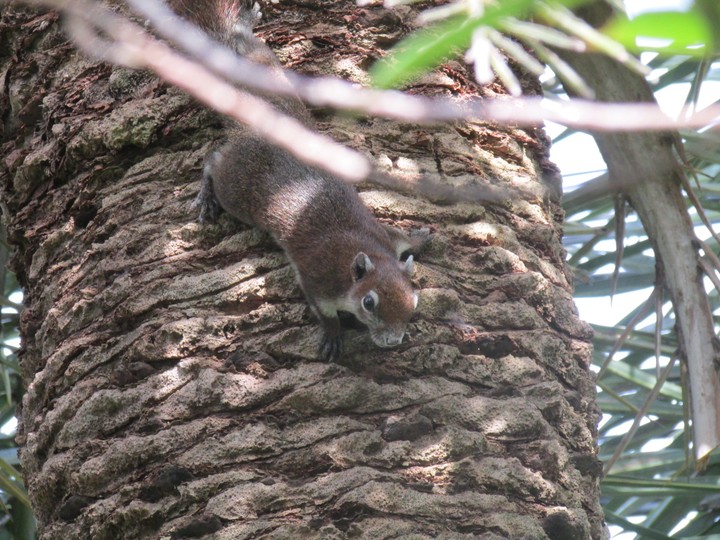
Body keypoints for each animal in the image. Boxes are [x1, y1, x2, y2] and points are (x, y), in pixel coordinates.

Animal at [178, 0, 425, 361]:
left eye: (413, 302)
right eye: (369, 302)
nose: (393, 341)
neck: (368, 251)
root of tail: (261, 125)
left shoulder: (385, 238)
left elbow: (402, 236)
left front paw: (421, 237)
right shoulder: (316, 280)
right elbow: (325, 313)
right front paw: (333, 336)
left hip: (266, 64)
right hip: (236, 189)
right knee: (213, 163)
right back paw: (207, 196)